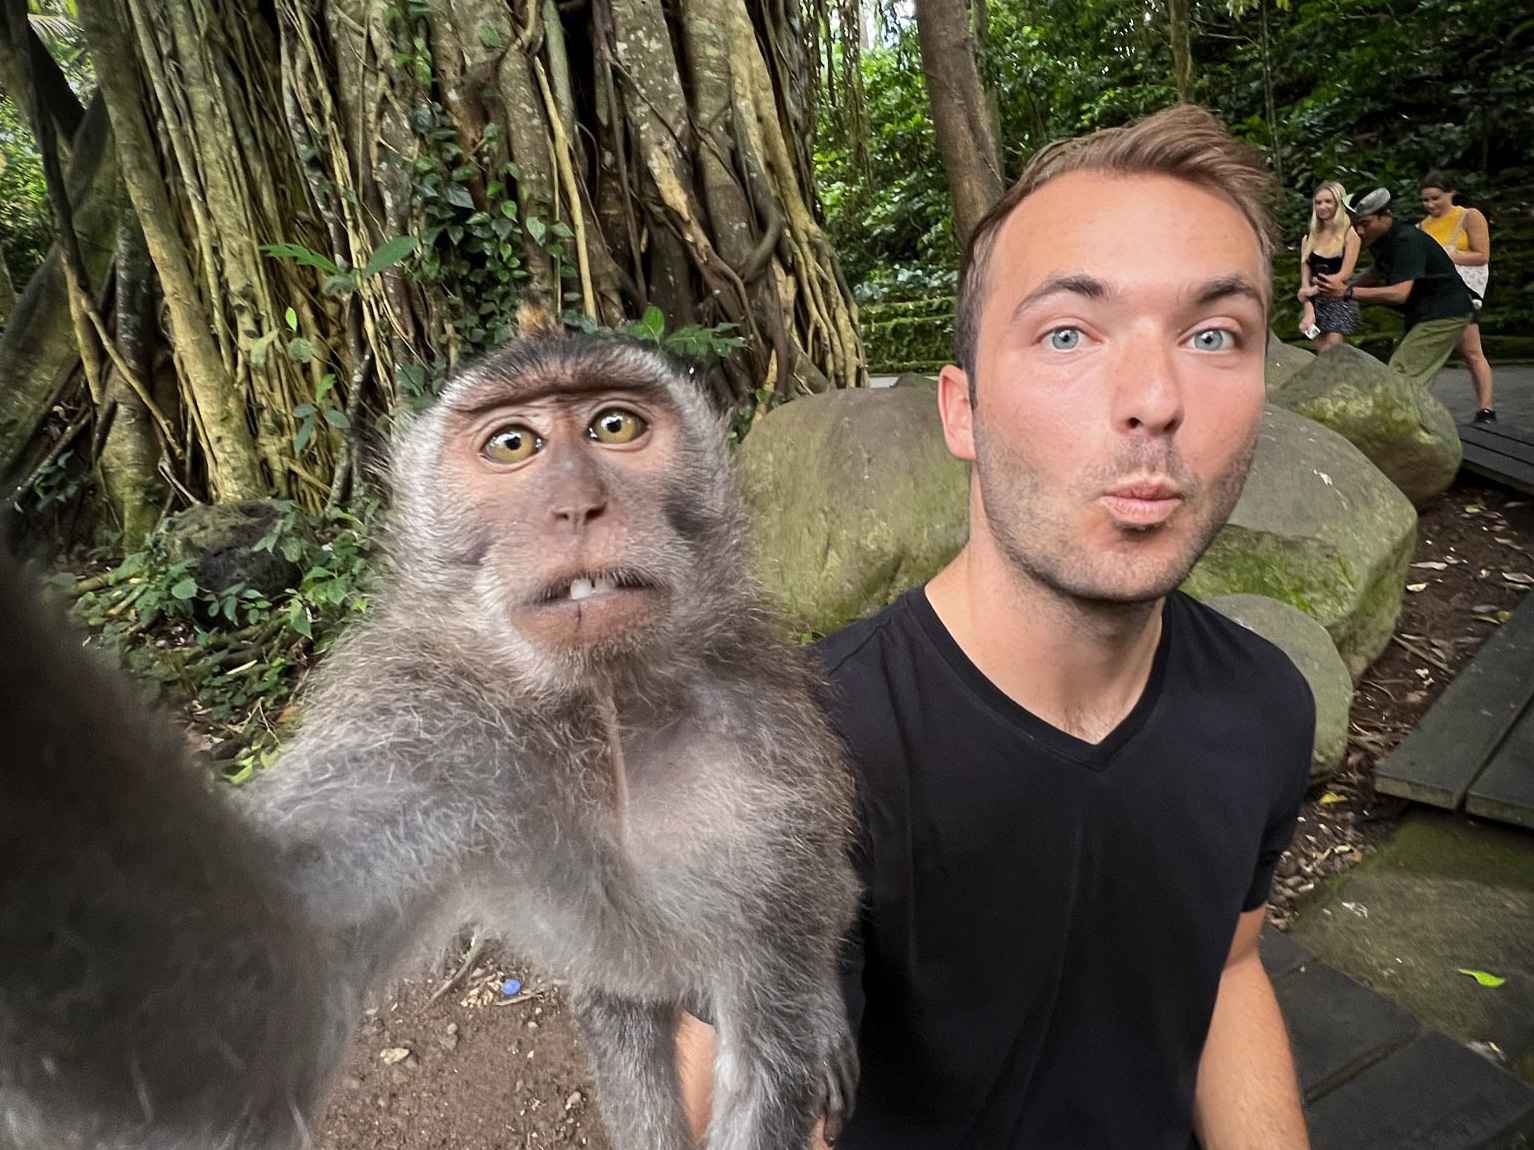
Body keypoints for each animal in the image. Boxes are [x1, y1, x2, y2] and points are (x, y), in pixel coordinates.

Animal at [0, 331, 865, 1150]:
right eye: (513, 444)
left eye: (615, 426)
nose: (577, 507)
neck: (604, 708)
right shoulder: (423, 721)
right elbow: (268, 993)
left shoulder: (772, 766)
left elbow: (772, 1033)